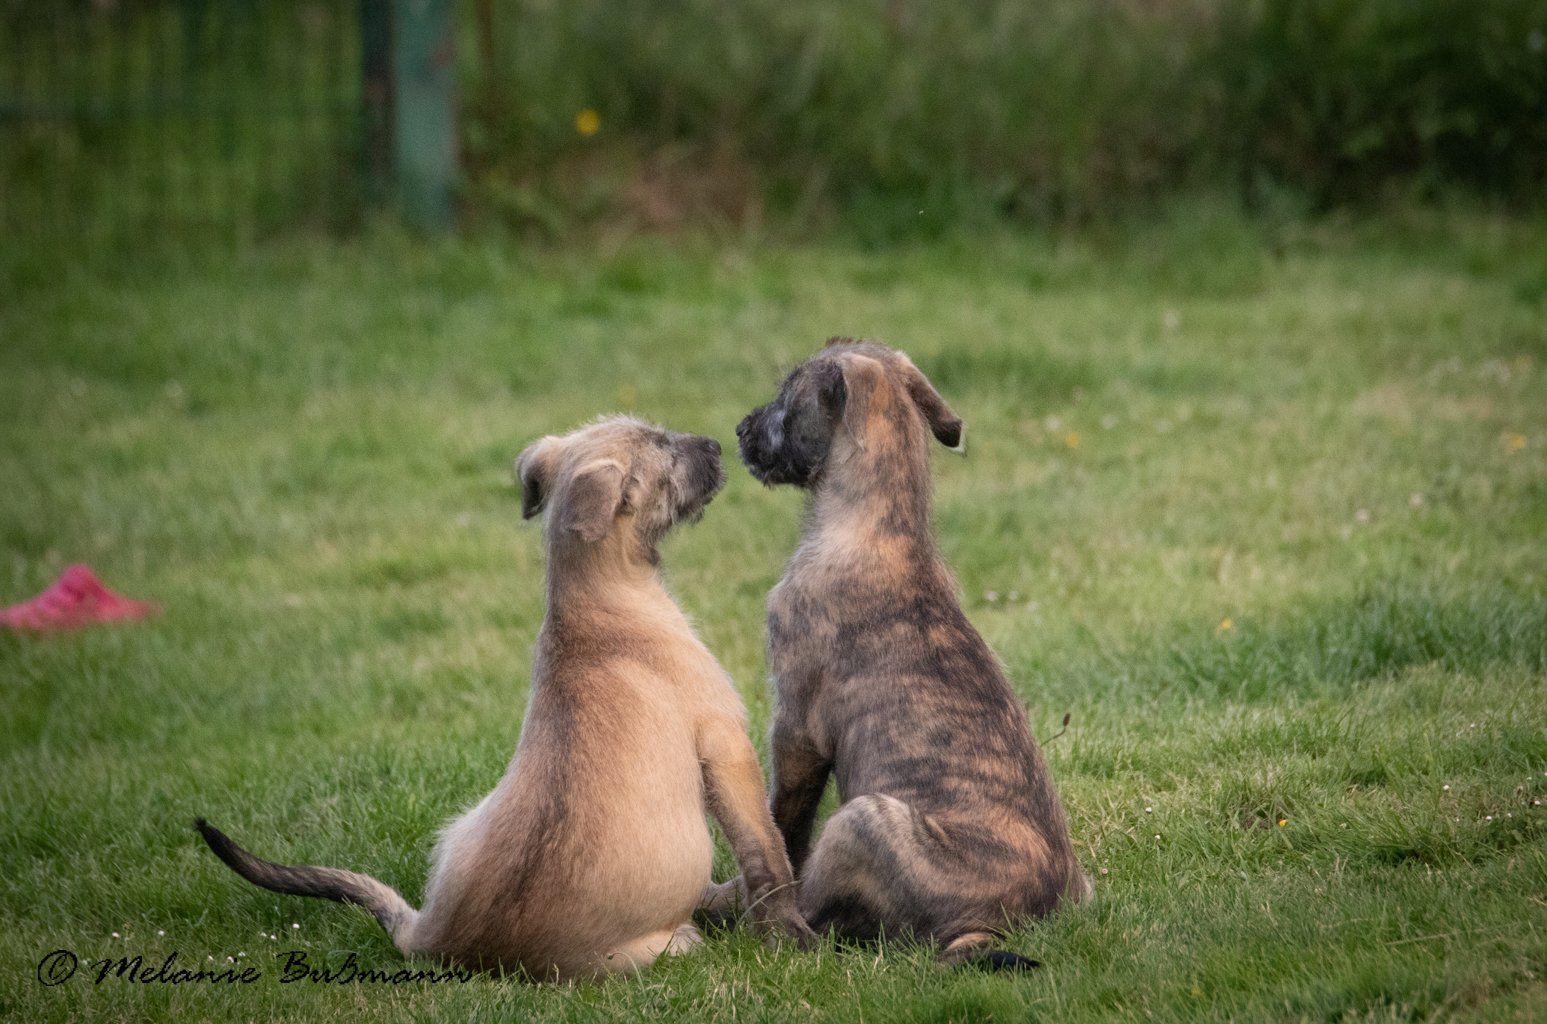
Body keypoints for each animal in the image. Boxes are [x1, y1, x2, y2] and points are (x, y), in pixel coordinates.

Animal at [197, 415, 813, 980]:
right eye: (663, 448)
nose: (717, 443)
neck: (597, 603)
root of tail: (435, 938)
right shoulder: (726, 744)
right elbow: (767, 851)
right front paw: (790, 934)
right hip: (663, 947)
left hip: (457, 830)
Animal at [733, 338, 1090, 969]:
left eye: (784, 398)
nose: (739, 430)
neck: (880, 525)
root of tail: (1002, 924)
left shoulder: (796, 727)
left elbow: (783, 828)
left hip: (861, 818)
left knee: (817, 923)